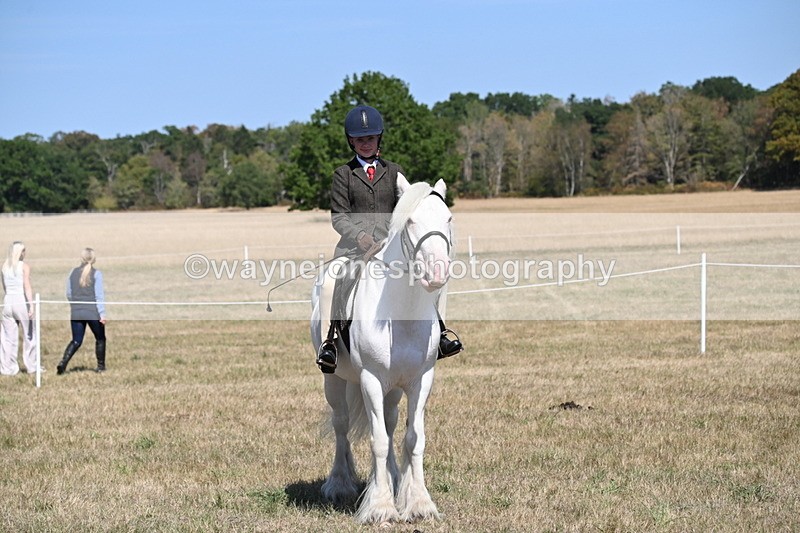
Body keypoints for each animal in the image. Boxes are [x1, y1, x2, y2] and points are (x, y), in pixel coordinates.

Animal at [310, 175, 454, 524]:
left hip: (393, 390)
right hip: (334, 380)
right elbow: (377, 441)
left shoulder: (420, 380)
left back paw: (392, 479)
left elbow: (412, 438)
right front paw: (380, 507)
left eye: (448, 219)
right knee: (341, 425)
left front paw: (418, 503)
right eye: (410, 221)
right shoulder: (371, 381)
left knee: (389, 426)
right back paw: (340, 483)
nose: (438, 273)